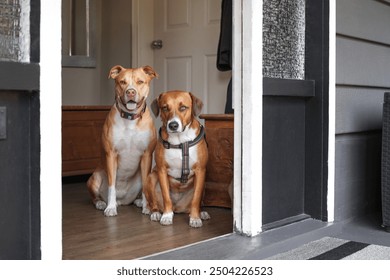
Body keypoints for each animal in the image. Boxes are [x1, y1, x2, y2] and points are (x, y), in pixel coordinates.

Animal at [86, 65, 157, 217]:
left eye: (140, 82)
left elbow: (145, 186)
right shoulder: (111, 154)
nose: (130, 92)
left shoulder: (147, 155)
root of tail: (123, 201)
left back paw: (139, 201)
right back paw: (102, 203)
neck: (130, 118)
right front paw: (110, 207)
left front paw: (147, 207)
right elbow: (111, 185)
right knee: (95, 197)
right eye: (122, 82)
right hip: (95, 177)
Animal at [144, 91, 210, 228]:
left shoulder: (201, 171)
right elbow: (166, 197)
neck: (180, 141)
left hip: (204, 185)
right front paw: (167, 216)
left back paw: (201, 213)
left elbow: (196, 199)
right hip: (151, 177)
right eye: (165, 108)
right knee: (153, 203)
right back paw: (155, 212)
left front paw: (195, 218)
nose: (173, 125)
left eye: (183, 108)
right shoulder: (161, 170)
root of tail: (178, 208)